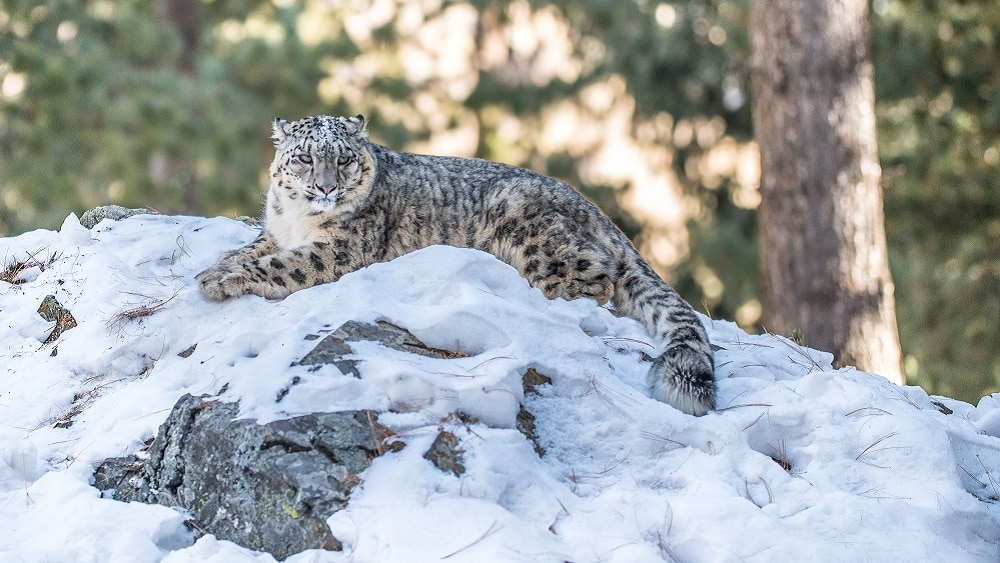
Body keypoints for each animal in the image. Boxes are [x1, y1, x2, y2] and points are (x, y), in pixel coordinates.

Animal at [196, 115, 716, 415]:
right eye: (305, 158)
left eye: (343, 160)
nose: (326, 187)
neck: (299, 219)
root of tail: (595, 210)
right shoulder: (274, 233)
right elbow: (251, 249)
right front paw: (216, 265)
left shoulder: (339, 250)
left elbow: (283, 266)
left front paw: (218, 280)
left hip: (535, 237)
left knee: (597, 282)